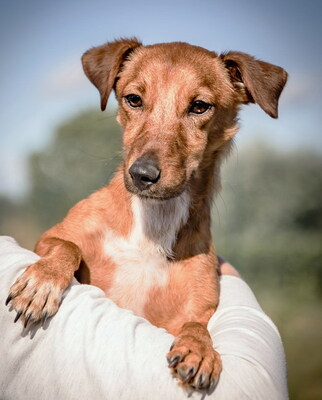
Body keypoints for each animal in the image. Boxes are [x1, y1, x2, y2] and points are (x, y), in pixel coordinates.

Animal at [5, 38, 286, 390]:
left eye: (200, 106)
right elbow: (67, 247)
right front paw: (41, 283)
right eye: (134, 99)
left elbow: (197, 324)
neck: (154, 221)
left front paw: (199, 347)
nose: (142, 174)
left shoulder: (200, 302)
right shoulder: (49, 238)